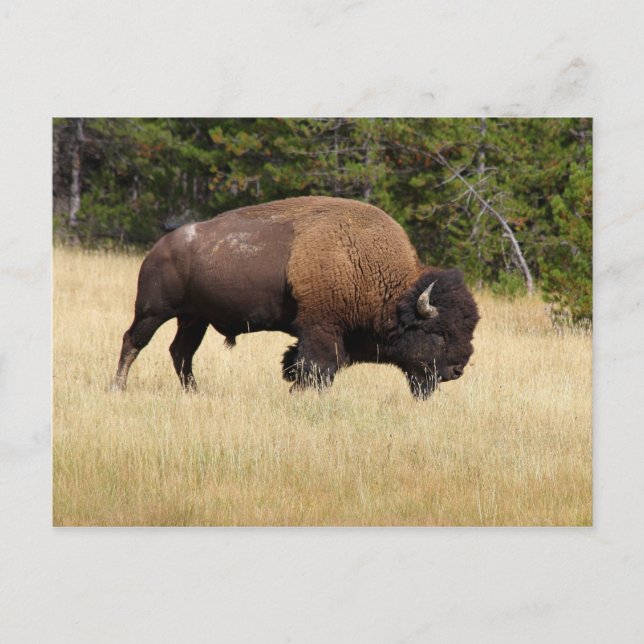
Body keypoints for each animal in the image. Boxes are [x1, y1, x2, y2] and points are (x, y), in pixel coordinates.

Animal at [112, 196, 479, 399]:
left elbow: (302, 365)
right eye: (438, 333)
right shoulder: (321, 328)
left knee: (181, 352)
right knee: (133, 341)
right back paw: (118, 387)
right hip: (153, 310)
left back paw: (194, 393)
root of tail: (161, 246)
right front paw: (301, 394)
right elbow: (318, 367)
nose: (457, 369)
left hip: (194, 319)